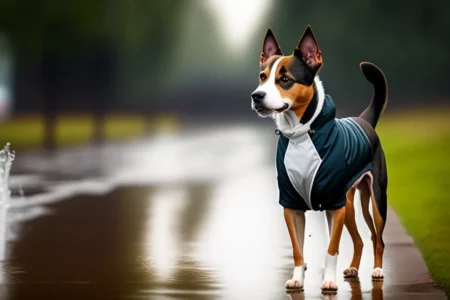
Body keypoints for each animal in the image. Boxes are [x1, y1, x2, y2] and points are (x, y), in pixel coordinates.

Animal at [251, 25, 388, 292]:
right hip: (349, 204)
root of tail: (364, 120)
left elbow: (331, 248)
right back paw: (353, 267)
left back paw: (377, 269)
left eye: (285, 79)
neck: (301, 135)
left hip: (375, 198)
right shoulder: (292, 204)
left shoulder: (334, 206)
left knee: (378, 238)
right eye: (262, 76)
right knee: (359, 240)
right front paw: (297, 278)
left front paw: (329, 281)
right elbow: (297, 249)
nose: (257, 96)